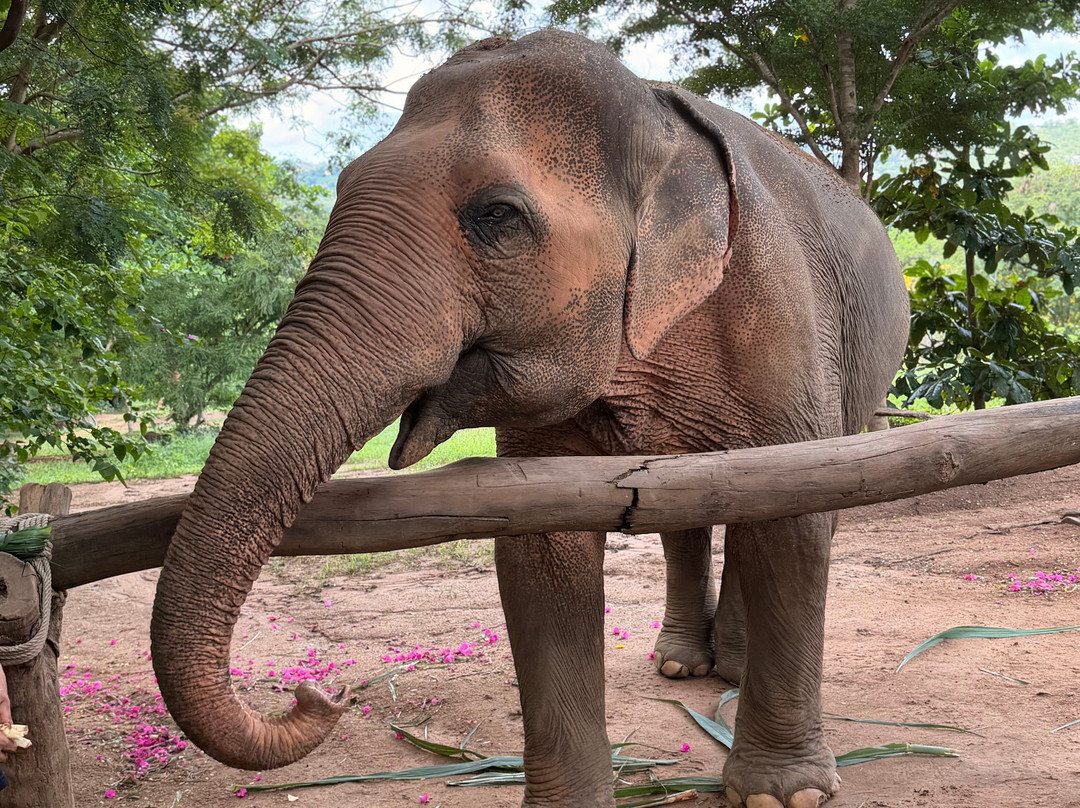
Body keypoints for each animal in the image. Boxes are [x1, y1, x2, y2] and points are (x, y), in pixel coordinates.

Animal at [150, 29, 909, 808]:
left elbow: (796, 519)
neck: (656, 115)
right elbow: (541, 552)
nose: (319, 696)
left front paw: (782, 794)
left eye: (496, 215)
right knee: (690, 513)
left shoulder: (780, 315)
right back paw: (687, 666)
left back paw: (727, 669)